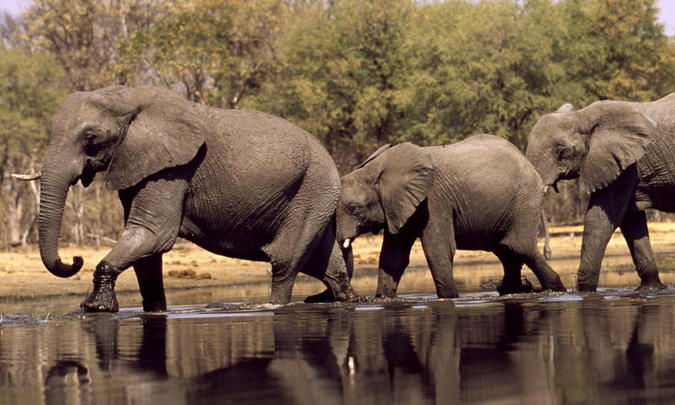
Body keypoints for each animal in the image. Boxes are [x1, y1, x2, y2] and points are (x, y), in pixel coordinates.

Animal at [39, 85, 356, 312]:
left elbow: (154, 234)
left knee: (285, 262)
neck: (127, 97)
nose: (75, 258)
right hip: (315, 196)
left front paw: (94, 308)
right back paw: (342, 300)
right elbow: (147, 246)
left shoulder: (173, 168)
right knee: (327, 264)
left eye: (90, 139)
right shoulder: (138, 165)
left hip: (311, 190)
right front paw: (155, 311)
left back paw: (273, 305)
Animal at [336, 134, 564, 296]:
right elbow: (393, 257)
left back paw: (556, 289)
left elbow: (438, 249)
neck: (377, 169)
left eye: (354, 208)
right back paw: (514, 290)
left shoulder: (434, 201)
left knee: (521, 248)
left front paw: (450, 297)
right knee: (506, 251)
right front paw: (383, 299)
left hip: (524, 201)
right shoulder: (397, 207)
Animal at [528, 94, 675, 290]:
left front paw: (585, 291)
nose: (548, 253)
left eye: (562, 151)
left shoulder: (626, 165)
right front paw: (651, 289)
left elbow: (598, 220)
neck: (582, 116)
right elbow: (631, 222)